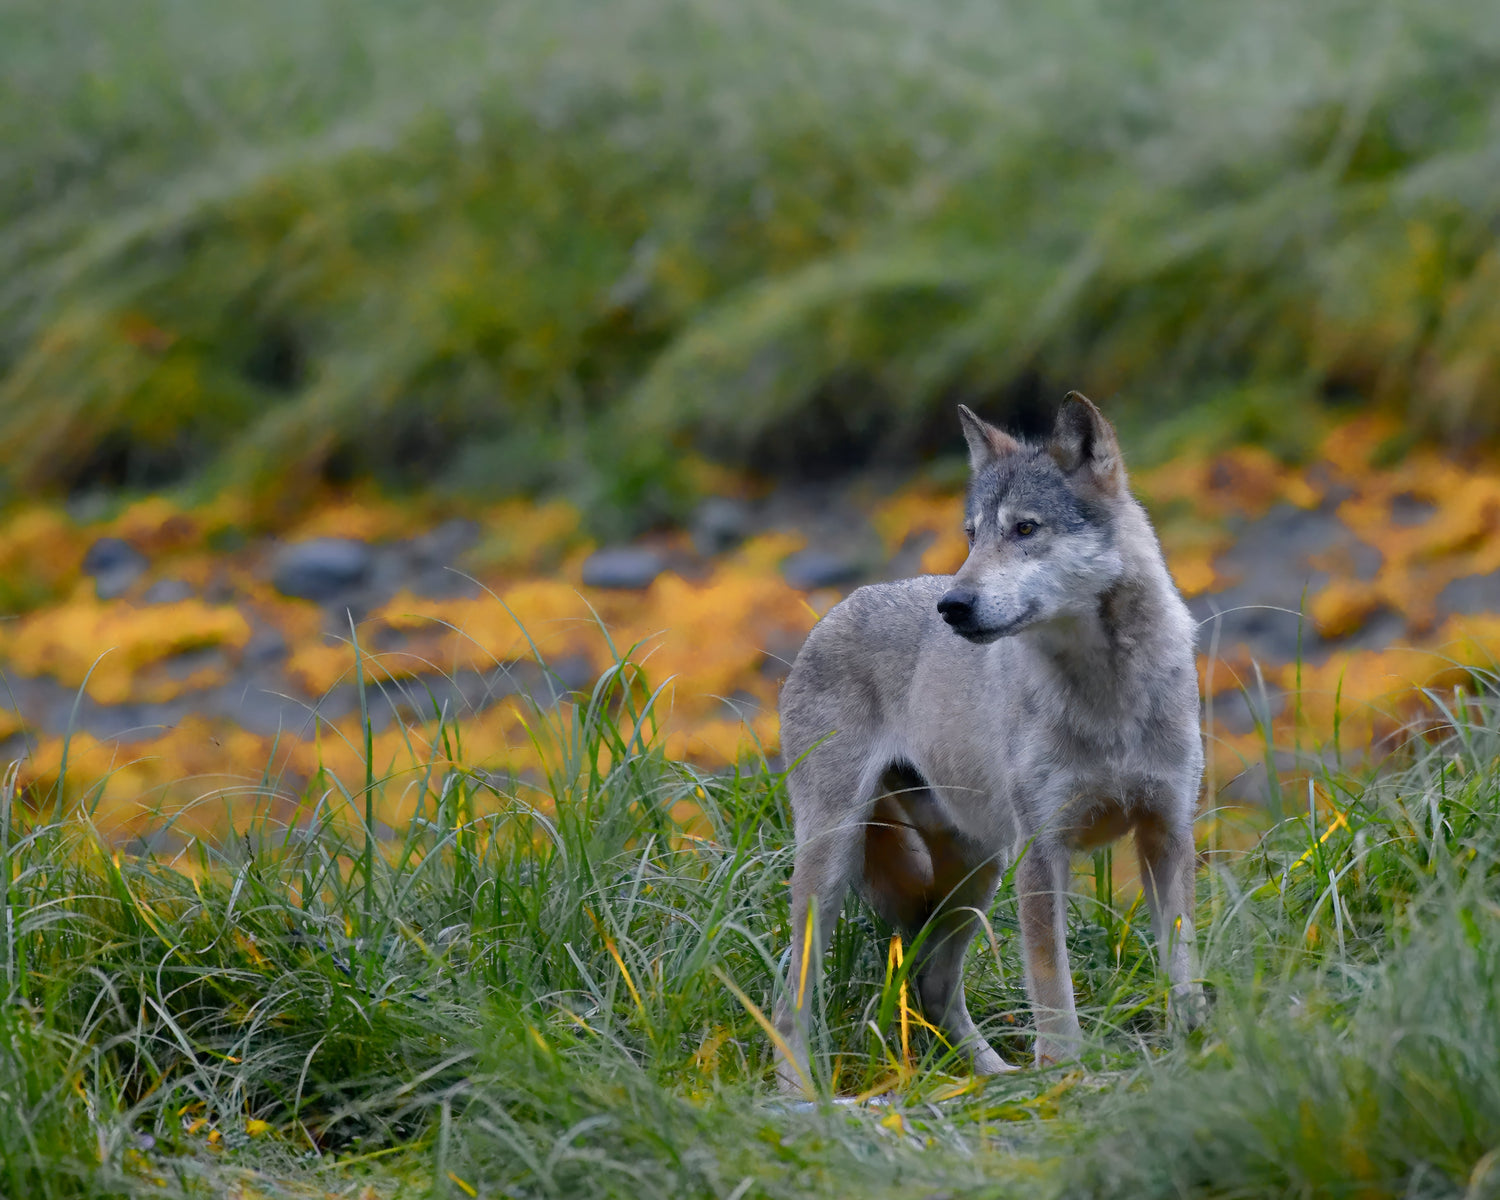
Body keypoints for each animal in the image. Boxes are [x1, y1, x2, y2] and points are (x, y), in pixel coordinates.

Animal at [772, 393, 1204, 1092]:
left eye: (1025, 529)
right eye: (972, 535)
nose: (953, 605)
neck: (1104, 694)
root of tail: (837, 607)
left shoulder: (1167, 832)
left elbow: (1183, 968)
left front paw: (1196, 1049)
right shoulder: (1041, 853)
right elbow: (1053, 991)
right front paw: (1065, 1078)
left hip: (977, 871)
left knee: (931, 983)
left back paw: (995, 1077)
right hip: (836, 862)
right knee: (792, 995)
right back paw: (803, 1098)